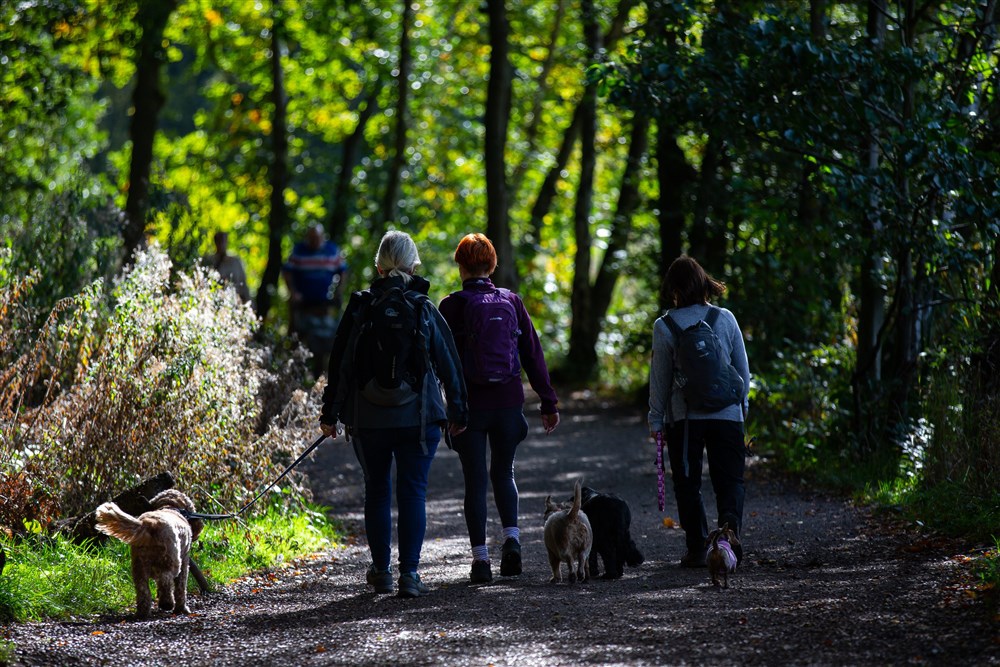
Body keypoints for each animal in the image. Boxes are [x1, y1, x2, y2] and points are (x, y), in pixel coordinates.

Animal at [95, 488, 203, 620]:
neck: (169, 507)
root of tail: (149, 524)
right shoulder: (185, 561)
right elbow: (181, 588)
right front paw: (182, 609)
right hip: (171, 560)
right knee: (165, 579)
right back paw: (167, 604)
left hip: (139, 566)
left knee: (143, 590)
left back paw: (143, 612)